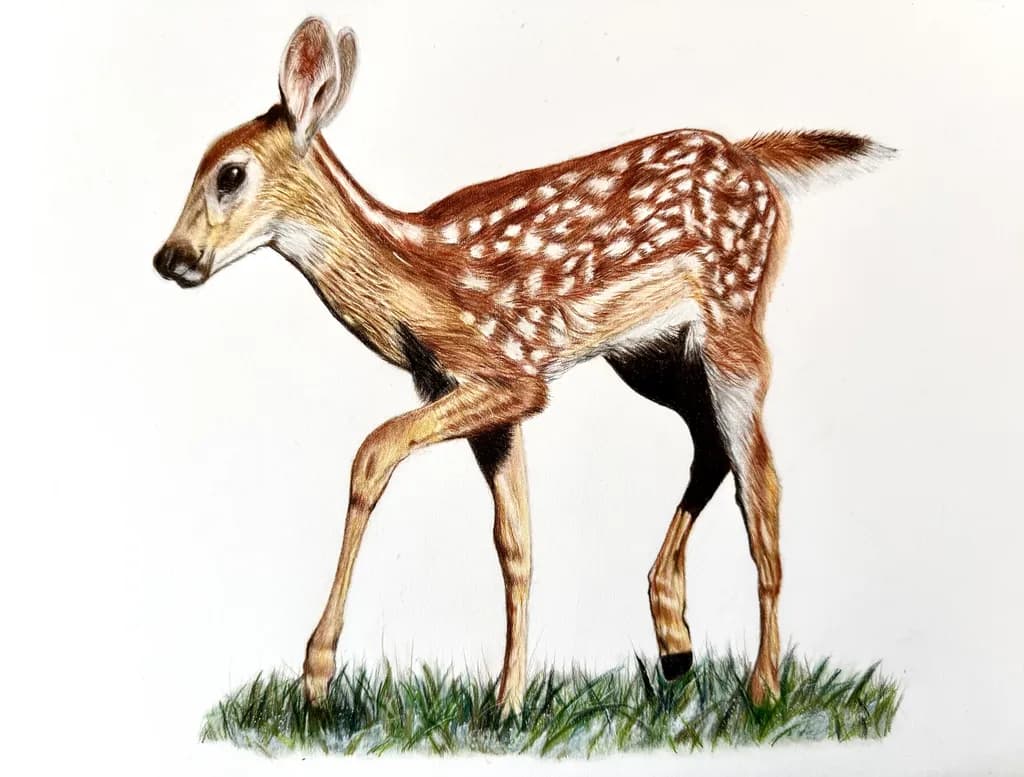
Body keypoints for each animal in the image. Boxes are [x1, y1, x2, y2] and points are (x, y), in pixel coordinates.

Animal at [153, 17, 893, 714]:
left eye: (229, 173)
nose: (170, 257)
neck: (418, 287)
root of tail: (751, 154)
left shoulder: (512, 372)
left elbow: (373, 452)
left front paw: (317, 673)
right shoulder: (483, 401)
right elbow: (515, 545)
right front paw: (506, 701)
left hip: (733, 321)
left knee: (760, 484)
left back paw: (763, 689)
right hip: (650, 355)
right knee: (711, 446)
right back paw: (675, 640)